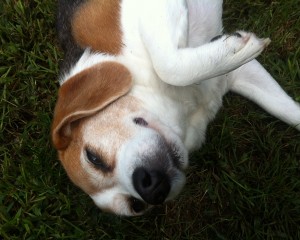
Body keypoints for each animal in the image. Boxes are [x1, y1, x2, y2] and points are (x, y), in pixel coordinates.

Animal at [52, 0, 300, 216]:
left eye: (93, 158)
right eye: (136, 206)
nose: (150, 187)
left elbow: (169, 68)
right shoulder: (236, 76)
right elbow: (288, 112)